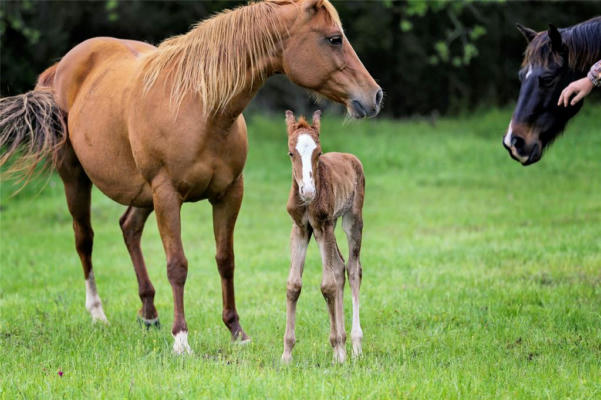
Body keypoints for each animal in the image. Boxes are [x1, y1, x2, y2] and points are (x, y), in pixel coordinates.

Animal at [280, 111, 364, 364]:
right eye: (291, 152)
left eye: (319, 153)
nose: (308, 191)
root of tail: (351, 157)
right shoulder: (301, 228)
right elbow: (293, 285)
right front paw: (286, 355)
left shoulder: (323, 225)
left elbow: (328, 285)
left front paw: (338, 352)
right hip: (329, 228)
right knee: (339, 266)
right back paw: (345, 343)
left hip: (350, 220)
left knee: (353, 269)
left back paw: (355, 346)